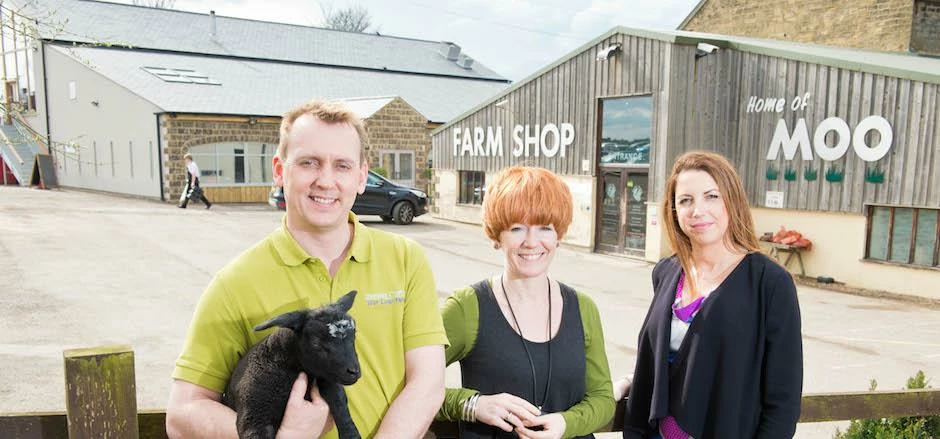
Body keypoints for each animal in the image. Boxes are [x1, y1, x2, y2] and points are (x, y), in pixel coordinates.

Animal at [224, 290, 364, 438]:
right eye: (316, 343)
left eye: (354, 335)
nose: (354, 372)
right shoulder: (254, 414)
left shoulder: (326, 378)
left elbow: (338, 401)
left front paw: (351, 434)